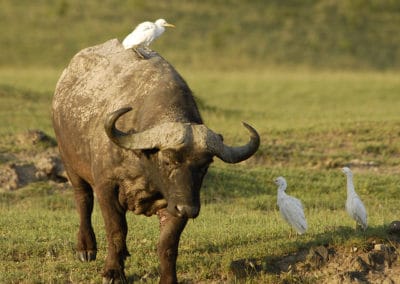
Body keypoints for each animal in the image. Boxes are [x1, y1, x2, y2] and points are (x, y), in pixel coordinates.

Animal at [51, 40, 260, 284]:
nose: (189, 209)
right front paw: (113, 271)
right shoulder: (106, 187)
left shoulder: (177, 201)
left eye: (205, 166)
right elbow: (116, 230)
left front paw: (168, 278)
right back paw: (86, 248)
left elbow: (167, 244)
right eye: (168, 160)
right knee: (83, 200)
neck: (145, 165)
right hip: (69, 163)